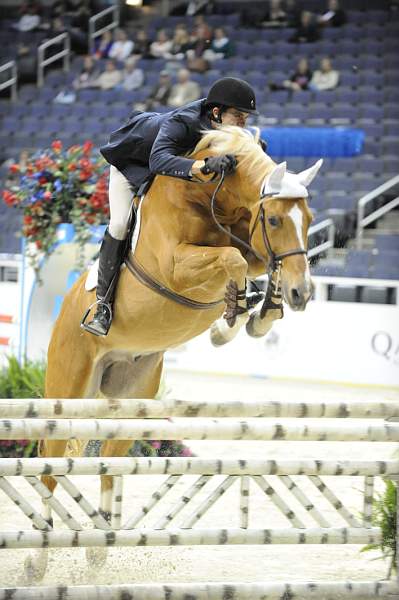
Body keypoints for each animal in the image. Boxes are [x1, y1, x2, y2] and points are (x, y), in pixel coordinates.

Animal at [27, 124, 322, 580]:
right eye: (274, 219)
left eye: (307, 220)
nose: (302, 295)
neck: (210, 191)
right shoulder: (177, 265)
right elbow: (233, 260)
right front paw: (230, 323)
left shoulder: (249, 243)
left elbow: (255, 262)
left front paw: (261, 314)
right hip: (68, 388)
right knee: (51, 466)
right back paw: (38, 561)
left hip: (130, 400)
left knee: (109, 463)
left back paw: (98, 552)